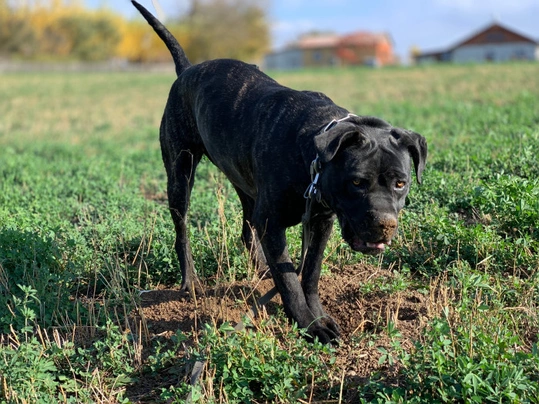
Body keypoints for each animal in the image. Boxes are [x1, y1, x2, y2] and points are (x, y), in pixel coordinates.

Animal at [132, 0, 426, 344]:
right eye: (357, 182)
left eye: (400, 183)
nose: (385, 224)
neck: (311, 156)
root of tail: (188, 70)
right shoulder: (273, 223)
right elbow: (289, 281)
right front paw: (308, 324)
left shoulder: (320, 221)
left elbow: (309, 272)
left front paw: (318, 314)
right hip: (180, 174)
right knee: (182, 231)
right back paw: (190, 280)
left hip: (245, 184)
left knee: (247, 229)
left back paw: (260, 267)